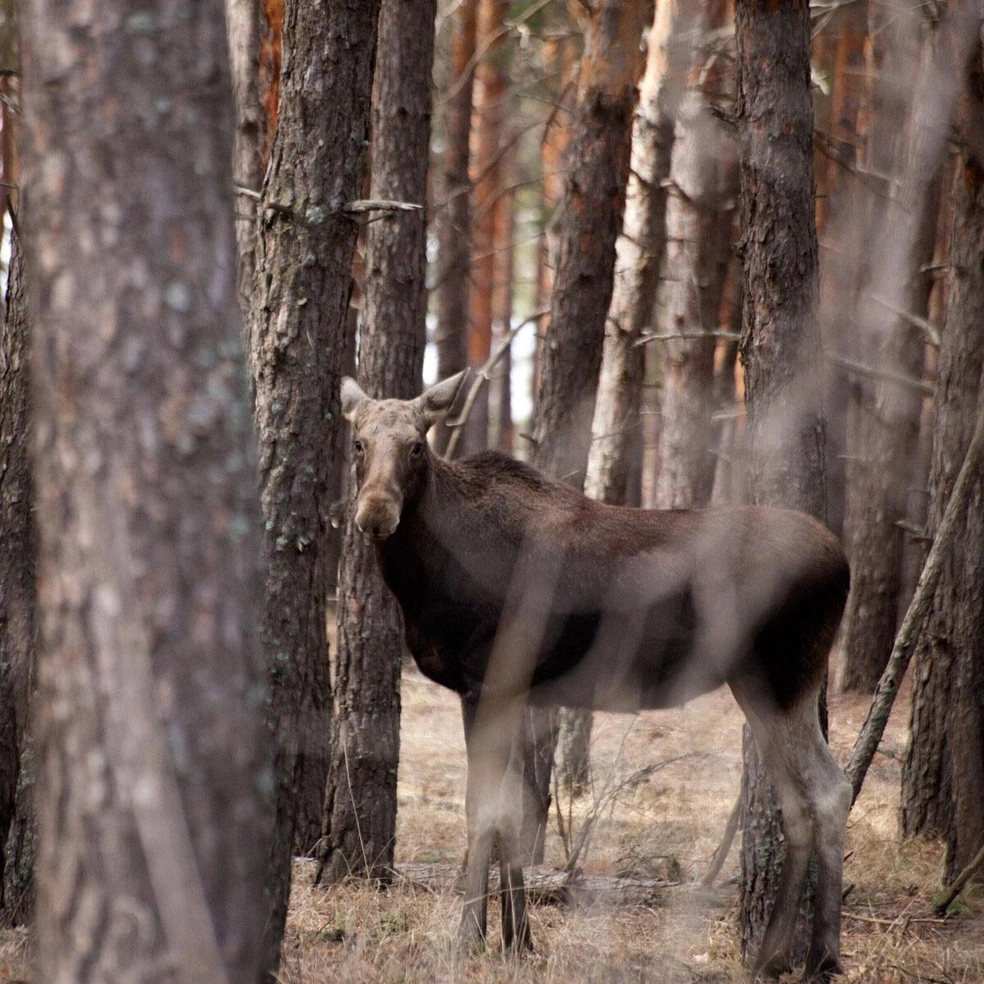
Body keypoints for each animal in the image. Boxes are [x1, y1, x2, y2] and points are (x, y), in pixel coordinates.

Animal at [342, 372, 848, 980]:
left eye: (417, 445)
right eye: (358, 443)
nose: (375, 515)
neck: (427, 580)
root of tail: (844, 562)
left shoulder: (489, 680)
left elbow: (482, 812)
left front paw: (466, 939)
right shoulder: (510, 690)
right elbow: (514, 814)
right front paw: (518, 939)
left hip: (786, 674)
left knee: (829, 789)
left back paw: (821, 956)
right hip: (758, 683)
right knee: (797, 800)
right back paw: (773, 956)